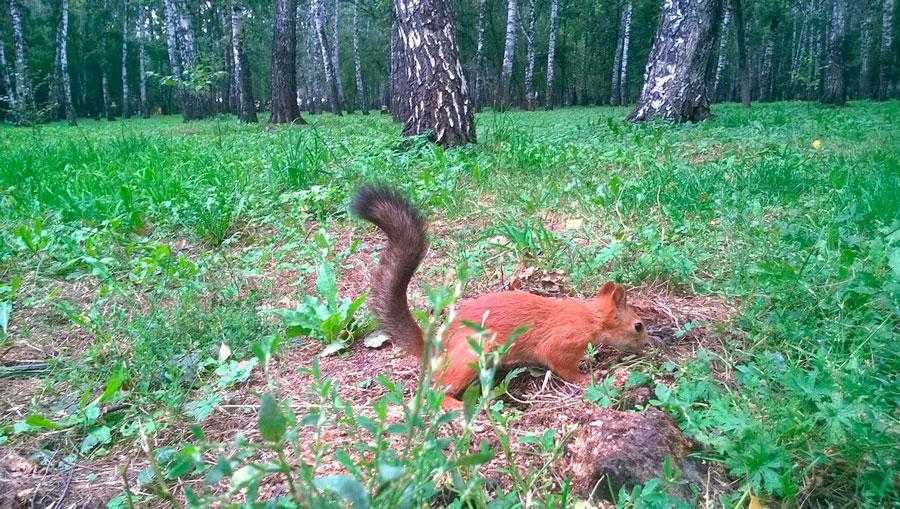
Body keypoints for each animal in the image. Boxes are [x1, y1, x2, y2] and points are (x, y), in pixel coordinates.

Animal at [352, 185, 649, 408]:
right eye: (638, 326)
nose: (647, 346)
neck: (589, 317)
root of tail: (438, 348)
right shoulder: (562, 341)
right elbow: (561, 365)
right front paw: (588, 377)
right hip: (474, 353)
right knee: (435, 392)